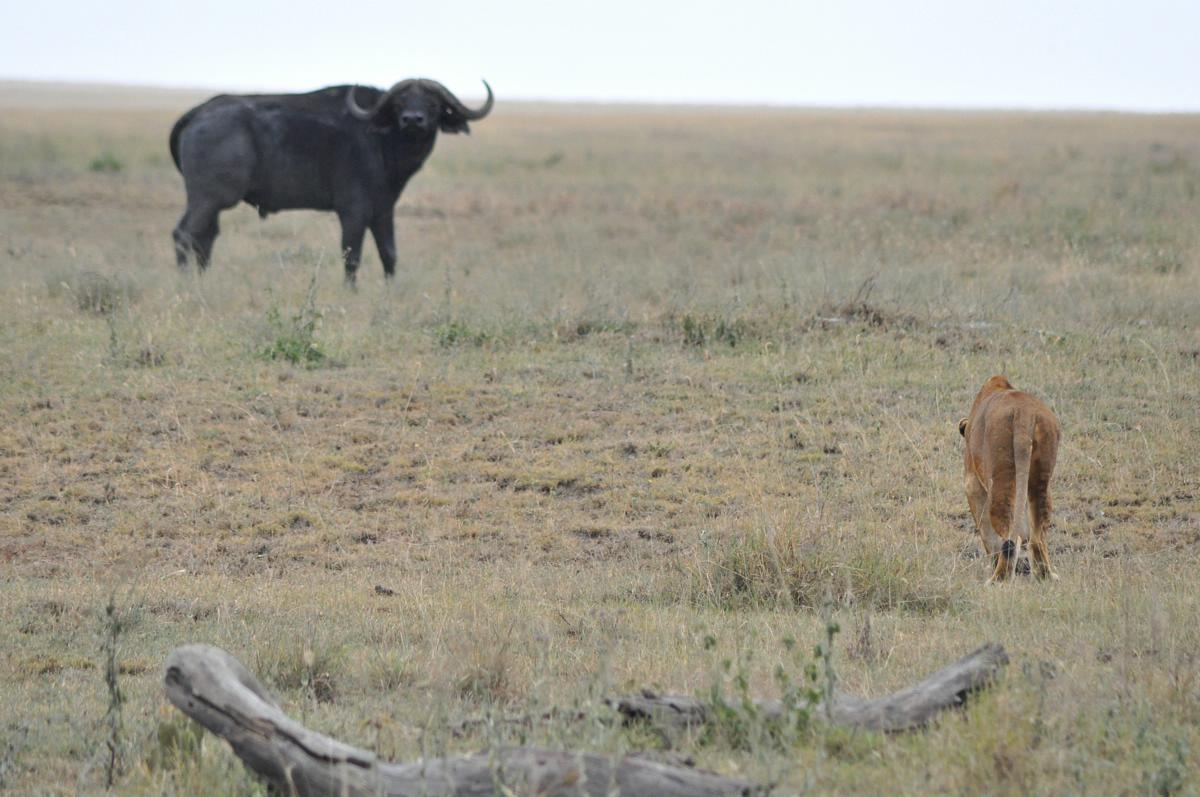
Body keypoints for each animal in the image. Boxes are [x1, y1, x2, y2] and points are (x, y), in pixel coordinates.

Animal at [169, 79, 493, 284]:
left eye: (432, 103)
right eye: (401, 102)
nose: (413, 119)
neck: (381, 141)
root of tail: (199, 112)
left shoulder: (383, 211)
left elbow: (389, 255)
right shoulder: (354, 212)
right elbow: (353, 257)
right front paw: (351, 292)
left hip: (212, 203)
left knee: (205, 239)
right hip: (209, 198)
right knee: (185, 235)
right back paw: (186, 285)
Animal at [958, 375, 1060, 583]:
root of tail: (1024, 412)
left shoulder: (972, 483)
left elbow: (987, 534)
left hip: (1001, 477)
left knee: (1010, 538)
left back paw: (997, 580)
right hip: (1040, 480)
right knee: (1037, 537)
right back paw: (1046, 576)